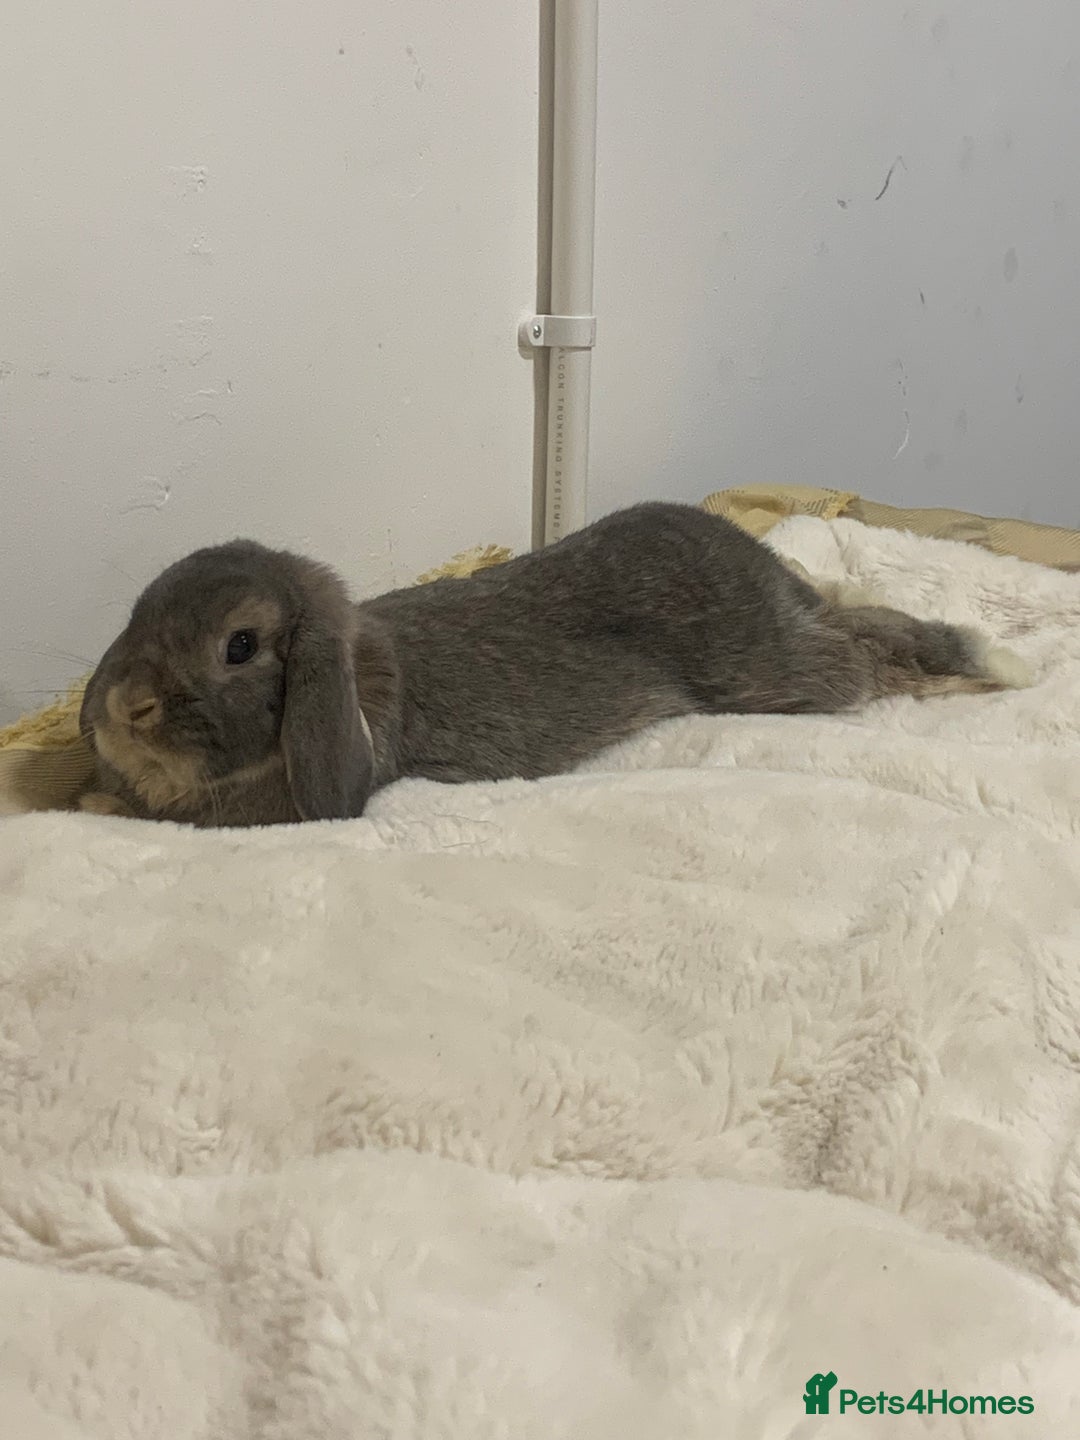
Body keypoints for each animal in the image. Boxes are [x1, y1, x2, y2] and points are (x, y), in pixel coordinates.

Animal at [78, 501, 1029, 827]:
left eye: (239, 646)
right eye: (136, 613)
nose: (122, 710)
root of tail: (757, 570)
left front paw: (94, 802)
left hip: (769, 673)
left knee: (862, 654)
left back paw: (992, 660)